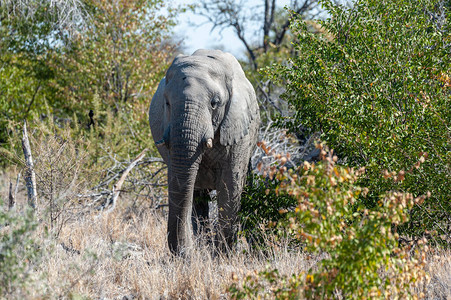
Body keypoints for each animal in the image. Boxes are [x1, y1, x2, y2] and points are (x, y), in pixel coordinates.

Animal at [149, 49, 262, 255]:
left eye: (214, 103)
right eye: (167, 103)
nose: (185, 255)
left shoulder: (238, 130)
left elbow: (230, 186)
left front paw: (223, 256)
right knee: (197, 198)